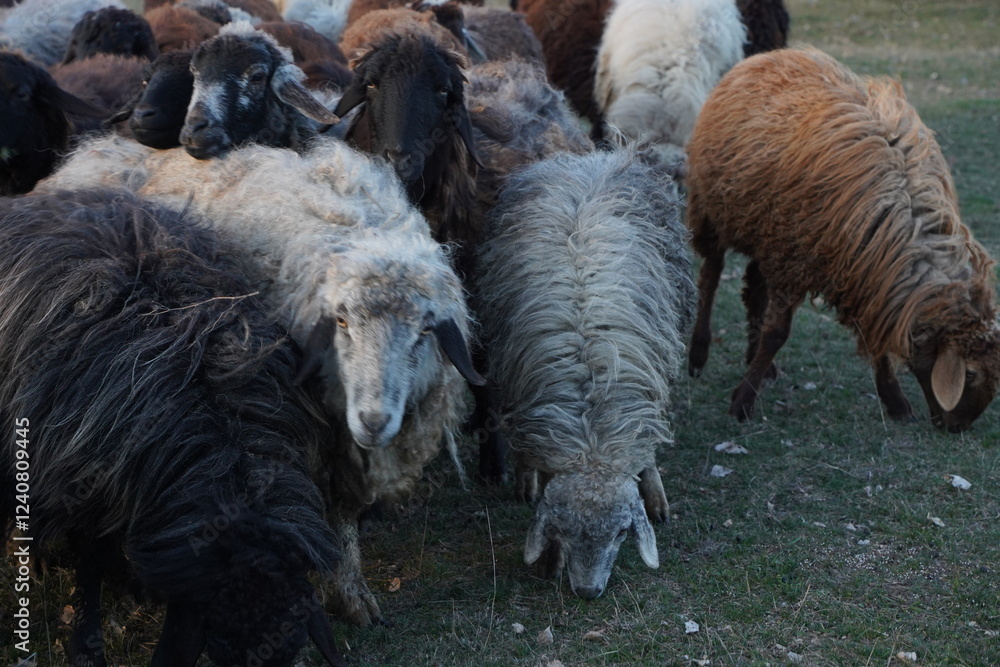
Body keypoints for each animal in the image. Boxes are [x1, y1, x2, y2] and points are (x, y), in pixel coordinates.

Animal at [40, 134, 483, 626]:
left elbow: (344, 509)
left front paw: (352, 592)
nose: (373, 420)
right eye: (342, 321)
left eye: (424, 331)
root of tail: (92, 151)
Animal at [474, 147, 696, 599]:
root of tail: (585, 158)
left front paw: (655, 494)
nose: (588, 592)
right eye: (562, 529)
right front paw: (551, 561)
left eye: (621, 533)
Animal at [685, 48, 1000, 431]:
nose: (958, 428)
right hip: (714, 210)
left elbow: (872, 336)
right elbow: (777, 334)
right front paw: (743, 402)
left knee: (754, 287)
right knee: (711, 274)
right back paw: (698, 354)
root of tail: (773, 54)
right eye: (969, 374)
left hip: (765, 229)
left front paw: (894, 401)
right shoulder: (796, 260)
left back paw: (757, 362)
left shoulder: (862, 273)